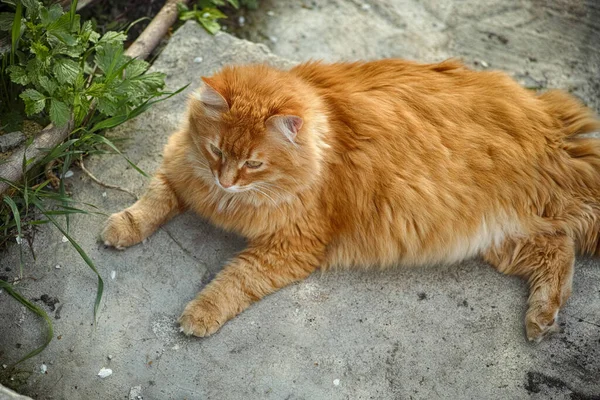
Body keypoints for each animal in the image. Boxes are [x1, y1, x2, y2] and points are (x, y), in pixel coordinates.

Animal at [101, 58, 600, 340]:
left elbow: (233, 282)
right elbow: (150, 202)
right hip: (501, 241)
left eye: (254, 164)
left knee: (561, 248)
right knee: (558, 249)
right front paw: (122, 226)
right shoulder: (180, 171)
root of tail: (548, 120)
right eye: (218, 152)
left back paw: (541, 320)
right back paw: (542, 319)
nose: (226, 181)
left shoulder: (291, 247)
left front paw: (200, 314)